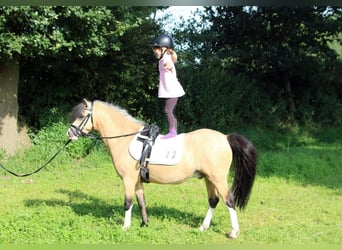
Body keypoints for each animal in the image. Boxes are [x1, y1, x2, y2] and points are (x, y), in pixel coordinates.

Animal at [67, 98, 256, 238]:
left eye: (82, 115)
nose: (70, 133)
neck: (125, 139)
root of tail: (225, 137)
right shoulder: (137, 181)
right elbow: (141, 202)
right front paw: (144, 224)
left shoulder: (128, 180)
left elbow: (128, 203)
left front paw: (125, 227)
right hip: (209, 179)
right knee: (214, 201)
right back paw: (203, 227)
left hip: (218, 179)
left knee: (229, 200)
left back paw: (233, 232)